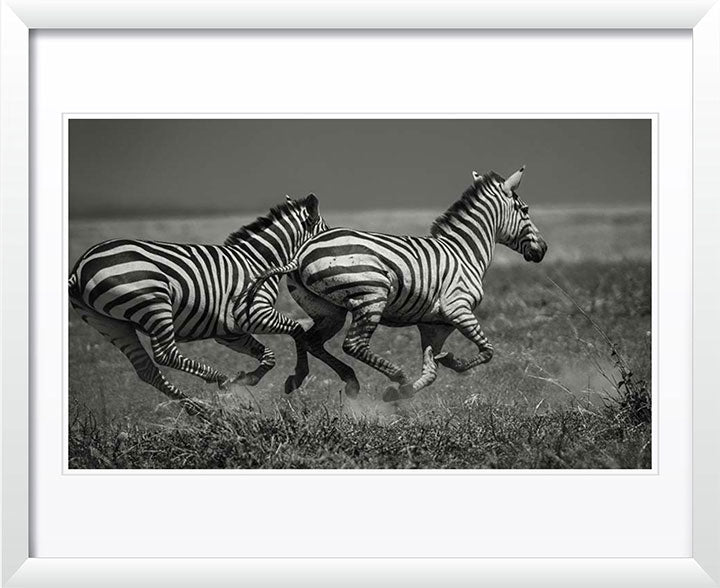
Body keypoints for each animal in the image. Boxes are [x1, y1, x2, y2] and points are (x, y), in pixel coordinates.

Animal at [68, 193, 328, 413]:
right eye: (326, 235)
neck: (259, 261)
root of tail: (80, 268)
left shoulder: (230, 332)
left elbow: (269, 355)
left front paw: (247, 379)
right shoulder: (254, 314)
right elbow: (296, 330)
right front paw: (297, 377)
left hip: (109, 323)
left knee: (146, 369)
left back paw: (202, 410)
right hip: (154, 302)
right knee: (165, 355)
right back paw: (218, 380)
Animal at [245, 167, 547, 402]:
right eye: (525, 209)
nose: (543, 250)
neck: (464, 252)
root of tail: (302, 251)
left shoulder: (434, 325)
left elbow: (431, 372)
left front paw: (403, 393)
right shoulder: (458, 309)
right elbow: (487, 351)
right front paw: (452, 362)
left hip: (329, 310)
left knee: (310, 340)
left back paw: (311, 379)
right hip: (371, 295)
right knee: (353, 344)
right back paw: (396, 376)